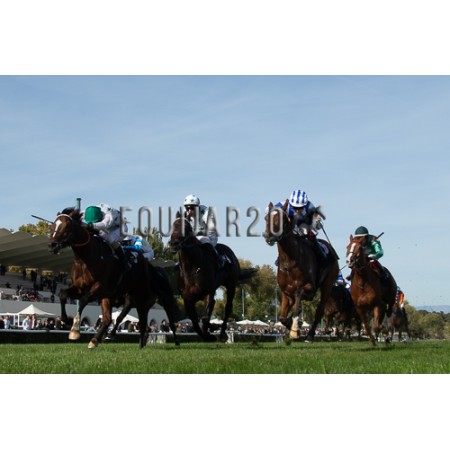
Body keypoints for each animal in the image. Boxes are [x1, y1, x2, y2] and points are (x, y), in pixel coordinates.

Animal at [49, 208, 180, 348]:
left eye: (66, 226)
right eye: (53, 225)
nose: (52, 245)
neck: (86, 258)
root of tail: (147, 264)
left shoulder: (100, 287)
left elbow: (83, 300)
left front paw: (74, 330)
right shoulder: (80, 287)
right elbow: (63, 294)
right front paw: (66, 320)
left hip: (145, 297)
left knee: (153, 320)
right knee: (109, 319)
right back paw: (96, 339)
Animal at [168, 213, 257, 342]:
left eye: (187, 227)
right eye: (173, 225)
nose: (173, 243)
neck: (191, 270)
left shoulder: (208, 294)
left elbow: (204, 318)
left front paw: (210, 333)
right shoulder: (187, 299)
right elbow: (195, 323)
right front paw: (209, 331)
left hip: (231, 284)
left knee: (227, 308)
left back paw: (222, 334)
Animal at [264, 201, 340, 341]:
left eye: (282, 219)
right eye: (266, 218)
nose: (269, 237)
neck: (289, 260)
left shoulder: (310, 288)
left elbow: (299, 298)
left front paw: (295, 329)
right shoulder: (286, 292)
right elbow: (282, 317)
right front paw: (292, 327)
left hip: (328, 283)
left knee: (320, 310)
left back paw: (310, 335)